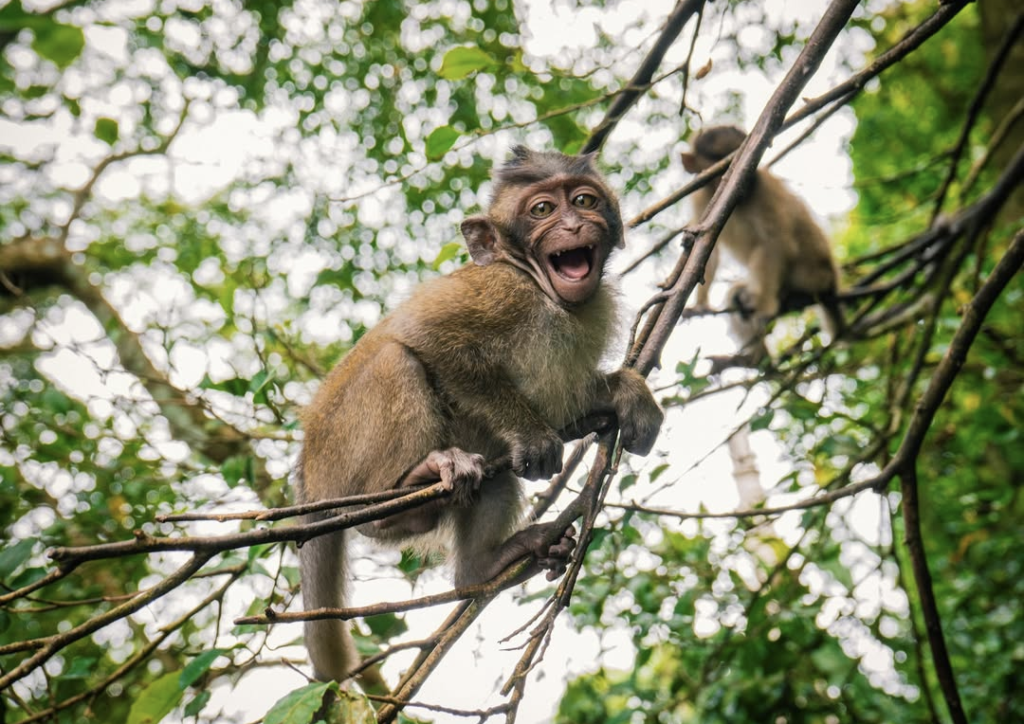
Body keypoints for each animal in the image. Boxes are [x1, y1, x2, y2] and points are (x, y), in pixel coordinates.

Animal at [296, 146, 664, 687]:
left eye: (583, 199)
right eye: (542, 210)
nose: (574, 224)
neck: (538, 285)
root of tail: (306, 479)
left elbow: (571, 398)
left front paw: (625, 393)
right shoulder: (500, 291)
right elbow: (427, 335)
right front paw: (533, 434)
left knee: (495, 478)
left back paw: (485, 566)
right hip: (343, 459)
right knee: (397, 359)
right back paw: (403, 495)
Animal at [680, 125, 843, 361]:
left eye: (740, 163)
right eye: (723, 168)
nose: (741, 180)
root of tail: (831, 278)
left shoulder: (764, 189)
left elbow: (776, 244)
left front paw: (764, 308)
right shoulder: (703, 197)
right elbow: (706, 248)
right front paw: (700, 305)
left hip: (813, 276)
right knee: (735, 296)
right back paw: (759, 358)